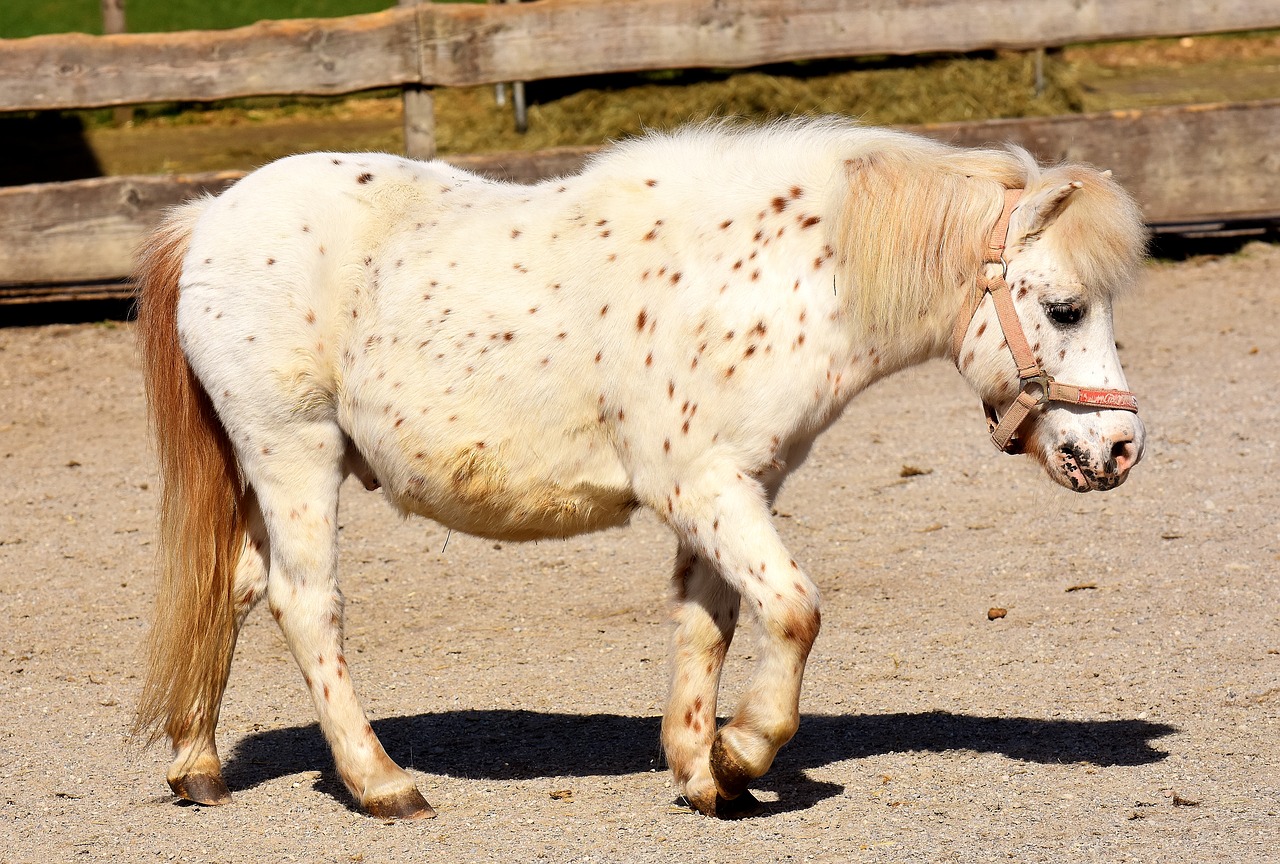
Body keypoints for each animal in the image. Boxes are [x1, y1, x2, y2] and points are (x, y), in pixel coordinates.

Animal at [132, 116, 1152, 819]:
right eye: (1065, 308)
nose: (1117, 450)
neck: (764, 277)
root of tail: (211, 217)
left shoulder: (736, 489)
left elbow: (712, 624)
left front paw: (704, 774)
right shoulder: (702, 486)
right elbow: (795, 610)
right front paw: (745, 752)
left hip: (268, 471)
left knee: (233, 588)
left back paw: (197, 767)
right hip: (294, 452)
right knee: (306, 606)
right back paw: (383, 784)